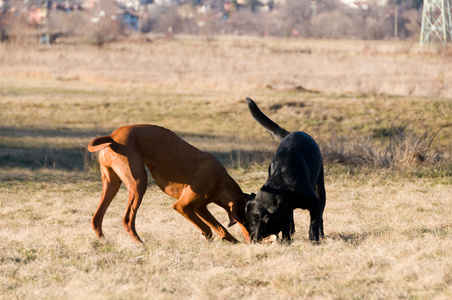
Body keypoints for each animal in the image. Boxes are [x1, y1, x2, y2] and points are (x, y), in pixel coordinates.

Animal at [87, 124, 251, 244]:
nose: (255, 241)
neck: (221, 181)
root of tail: (112, 137)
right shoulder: (182, 206)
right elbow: (208, 229)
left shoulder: (199, 208)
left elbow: (220, 228)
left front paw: (233, 242)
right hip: (139, 184)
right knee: (127, 220)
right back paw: (140, 243)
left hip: (111, 185)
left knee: (96, 219)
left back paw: (104, 241)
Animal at [244, 98, 324, 244]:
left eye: (251, 229)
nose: (252, 240)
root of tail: (291, 133)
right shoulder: (285, 210)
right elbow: (286, 224)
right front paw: (287, 240)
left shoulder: (315, 204)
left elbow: (314, 224)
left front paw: (314, 241)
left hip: (320, 187)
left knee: (320, 218)